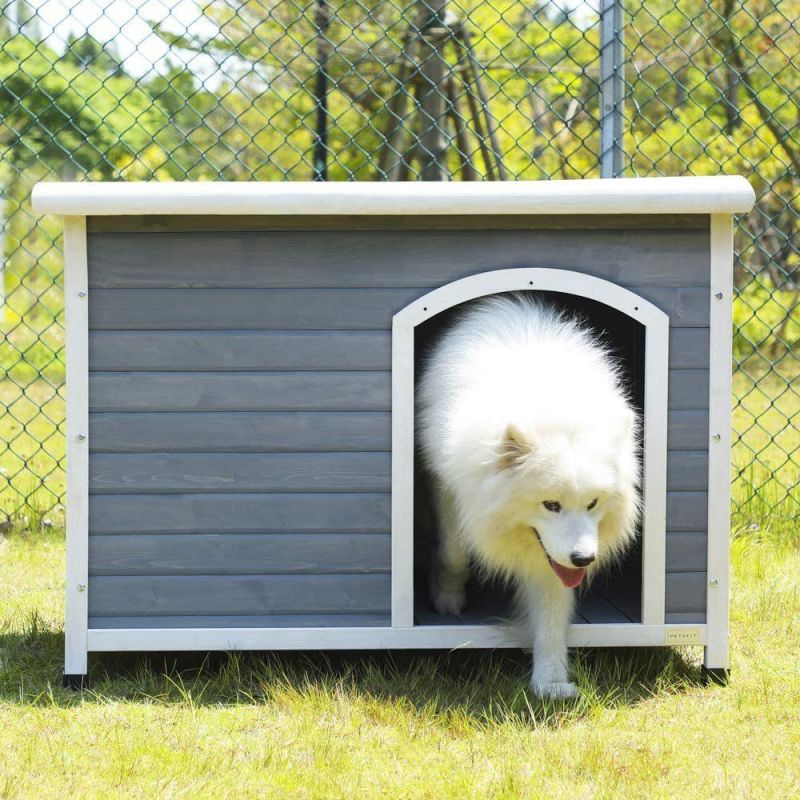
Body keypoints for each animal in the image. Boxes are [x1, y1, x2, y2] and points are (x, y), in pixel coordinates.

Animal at [418, 296, 636, 700]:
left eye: (593, 503)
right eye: (551, 505)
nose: (584, 559)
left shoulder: (552, 555)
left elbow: (551, 608)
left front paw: (550, 682)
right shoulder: (447, 486)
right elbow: (455, 553)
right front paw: (447, 595)